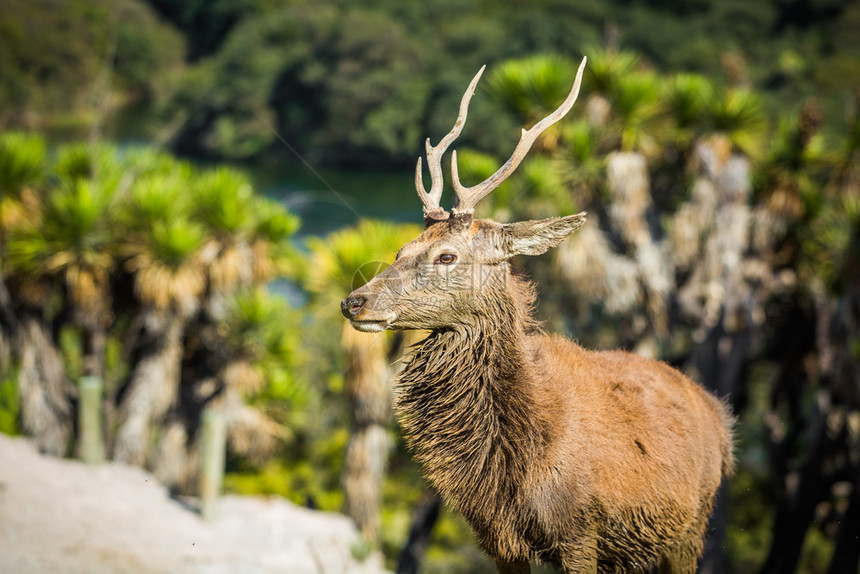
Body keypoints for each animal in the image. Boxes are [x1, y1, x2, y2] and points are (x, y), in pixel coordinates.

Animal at [340, 55, 732, 574]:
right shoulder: (497, 539)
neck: (516, 469)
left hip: (689, 531)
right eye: (402, 249)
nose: (353, 301)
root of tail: (721, 420)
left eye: (447, 256)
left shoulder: (581, 535)